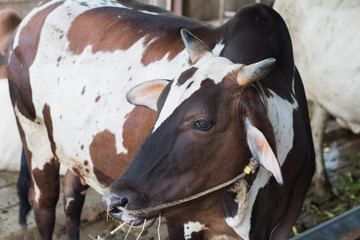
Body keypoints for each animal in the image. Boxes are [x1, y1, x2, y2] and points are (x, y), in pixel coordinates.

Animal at [7, 0, 314, 240]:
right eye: (159, 108)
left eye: (202, 122)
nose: (115, 201)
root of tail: (36, 14)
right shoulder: (183, 222)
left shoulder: (284, 221)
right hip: (34, 138)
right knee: (44, 206)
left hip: (75, 152)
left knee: (72, 199)